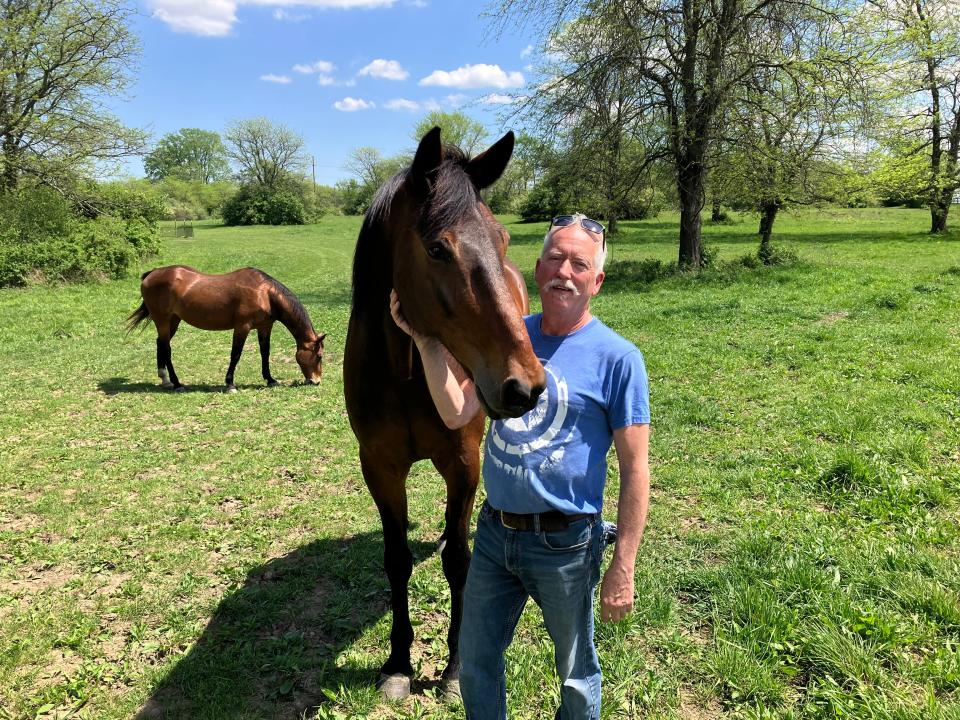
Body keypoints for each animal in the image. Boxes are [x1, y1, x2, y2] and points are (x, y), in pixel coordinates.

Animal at [127, 264, 326, 390]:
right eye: (319, 356)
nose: (316, 381)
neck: (265, 293)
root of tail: (152, 274)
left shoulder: (264, 327)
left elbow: (265, 353)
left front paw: (270, 379)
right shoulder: (242, 327)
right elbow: (235, 355)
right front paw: (230, 383)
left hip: (173, 321)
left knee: (160, 343)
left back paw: (165, 379)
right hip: (162, 320)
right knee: (166, 348)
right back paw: (177, 384)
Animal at [344, 128, 548, 696]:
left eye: (502, 239)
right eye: (437, 248)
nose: (525, 385)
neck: (408, 371)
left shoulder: (462, 461)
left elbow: (460, 561)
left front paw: (456, 667)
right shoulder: (380, 467)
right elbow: (396, 561)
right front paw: (397, 663)